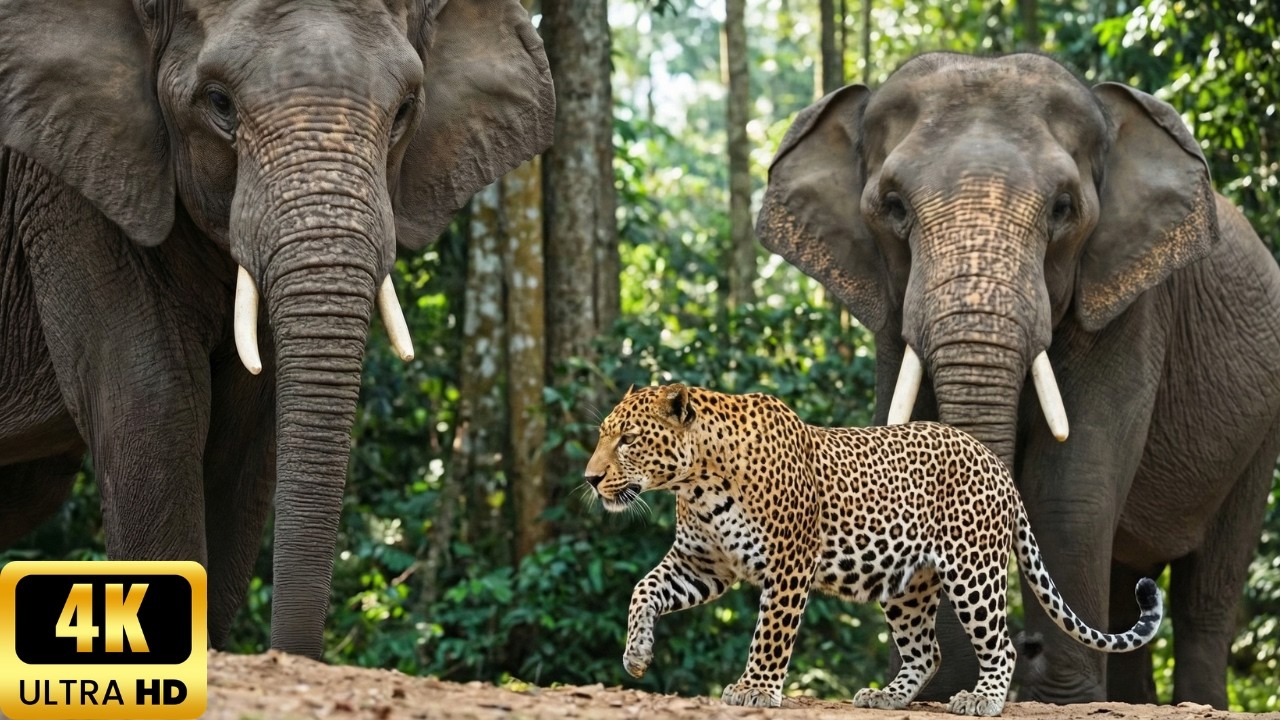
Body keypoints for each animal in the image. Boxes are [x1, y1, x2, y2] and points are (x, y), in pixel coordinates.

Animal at [0, 0, 554, 658]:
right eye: (218, 103)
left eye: (403, 111)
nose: (291, 652)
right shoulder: (66, 183)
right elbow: (156, 408)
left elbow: (241, 435)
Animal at [756, 52, 1280, 707]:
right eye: (893, 207)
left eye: (1063, 209)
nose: (1027, 646)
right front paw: (940, 690)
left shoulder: (1128, 306)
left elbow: (1074, 482)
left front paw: (1058, 697)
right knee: (1133, 582)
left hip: (1259, 434)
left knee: (1206, 595)